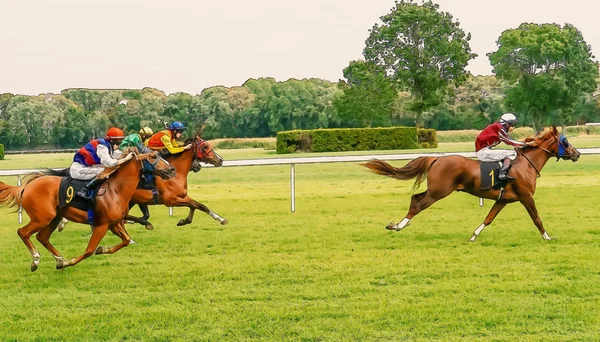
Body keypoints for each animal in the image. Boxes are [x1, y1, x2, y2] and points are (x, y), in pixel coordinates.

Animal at [0, 148, 176, 272]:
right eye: (153, 156)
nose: (172, 170)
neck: (116, 189)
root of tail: (25, 187)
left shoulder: (114, 223)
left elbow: (126, 240)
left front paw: (102, 249)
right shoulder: (102, 225)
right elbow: (89, 250)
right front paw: (71, 261)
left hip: (54, 217)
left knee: (42, 237)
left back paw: (59, 259)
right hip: (42, 218)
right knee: (23, 232)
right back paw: (37, 260)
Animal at [364, 127, 580, 242]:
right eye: (565, 141)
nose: (577, 154)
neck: (525, 164)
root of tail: (436, 158)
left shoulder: (504, 200)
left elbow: (489, 218)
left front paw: (474, 235)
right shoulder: (526, 197)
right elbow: (537, 218)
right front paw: (547, 237)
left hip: (435, 191)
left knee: (414, 198)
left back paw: (398, 225)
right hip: (438, 192)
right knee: (417, 205)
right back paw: (398, 226)